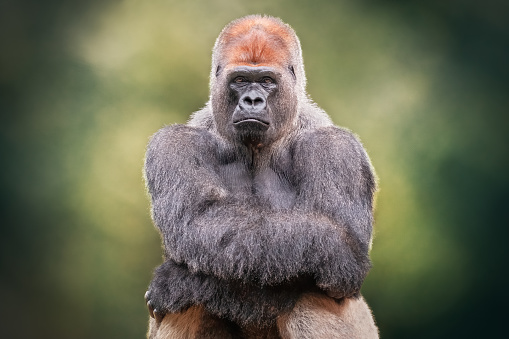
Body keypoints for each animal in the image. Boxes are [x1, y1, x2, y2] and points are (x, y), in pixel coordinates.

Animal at [143, 15, 378, 339]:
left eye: (267, 81)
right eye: (240, 80)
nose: (252, 100)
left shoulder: (336, 147)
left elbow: (341, 257)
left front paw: (178, 283)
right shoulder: (172, 143)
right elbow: (197, 217)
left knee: (311, 296)